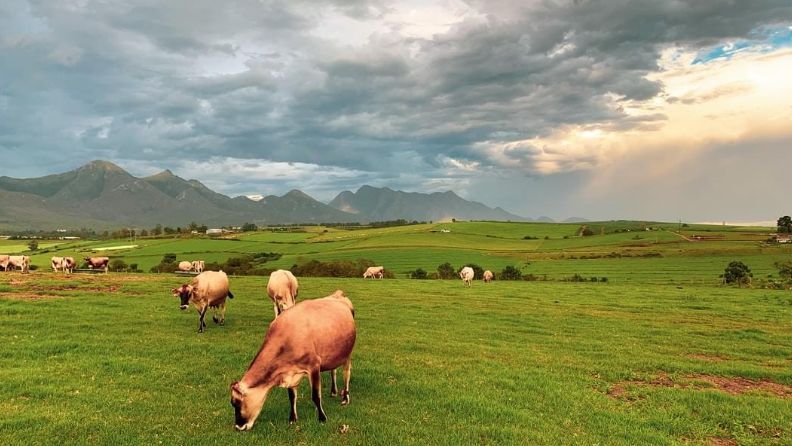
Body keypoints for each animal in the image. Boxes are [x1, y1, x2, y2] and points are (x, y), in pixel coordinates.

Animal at [232, 290, 356, 430]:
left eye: (236, 403)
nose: (238, 427)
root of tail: (338, 293)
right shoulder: (291, 372)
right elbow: (292, 396)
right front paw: (292, 419)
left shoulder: (314, 366)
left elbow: (315, 396)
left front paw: (322, 418)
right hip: (333, 354)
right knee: (333, 371)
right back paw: (333, 391)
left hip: (348, 353)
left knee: (346, 374)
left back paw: (345, 397)